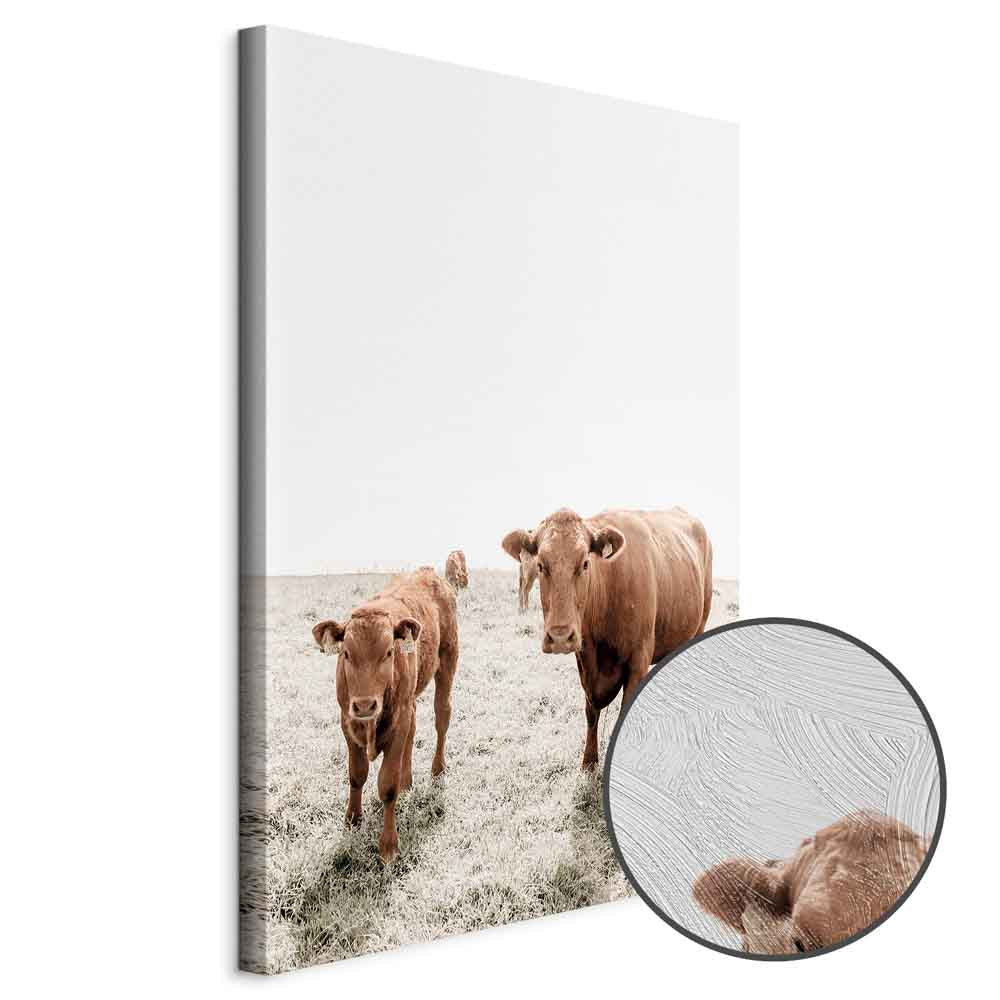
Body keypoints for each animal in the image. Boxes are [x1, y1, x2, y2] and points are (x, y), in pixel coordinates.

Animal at [311, 568, 459, 863]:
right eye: (346, 654)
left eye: (388, 652)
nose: (365, 705)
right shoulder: (348, 722)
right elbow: (356, 775)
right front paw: (352, 820)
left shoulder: (397, 722)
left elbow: (387, 785)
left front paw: (388, 845)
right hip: (410, 700)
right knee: (414, 729)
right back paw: (407, 780)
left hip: (448, 660)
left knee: (442, 716)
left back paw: (437, 768)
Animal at [501, 507, 712, 770]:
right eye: (540, 564)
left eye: (584, 563)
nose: (560, 637)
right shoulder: (585, 663)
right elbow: (591, 712)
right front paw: (589, 761)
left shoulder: (638, 659)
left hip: (700, 624)